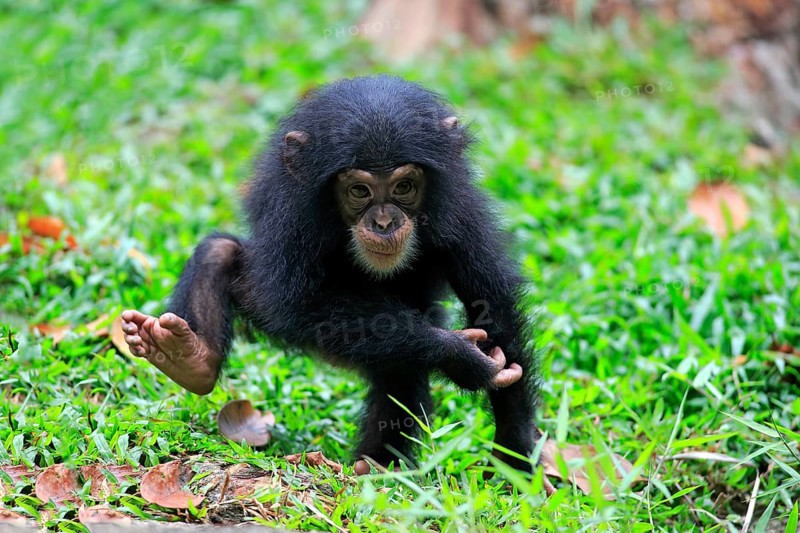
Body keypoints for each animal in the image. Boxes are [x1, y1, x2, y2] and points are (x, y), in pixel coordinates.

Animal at [121, 75, 540, 473]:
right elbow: (298, 303)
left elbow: (492, 306)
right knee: (218, 253)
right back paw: (189, 358)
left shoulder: (463, 215)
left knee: (400, 372)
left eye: (404, 186)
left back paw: (375, 466)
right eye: (360, 191)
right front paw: (460, 355)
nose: (384, 222)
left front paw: (513, 455)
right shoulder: (292, 218)